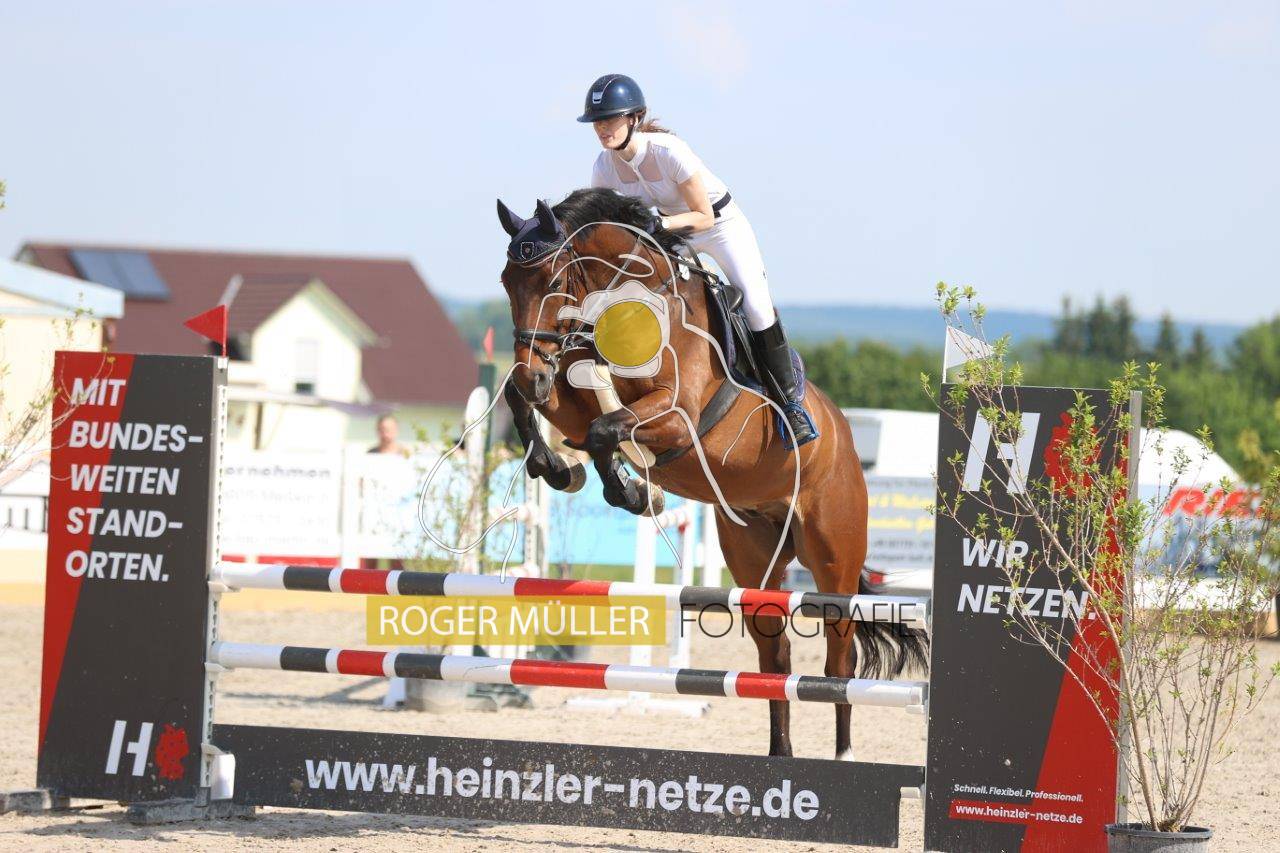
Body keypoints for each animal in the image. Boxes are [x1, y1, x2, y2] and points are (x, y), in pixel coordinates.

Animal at [496, 188, 929, 759]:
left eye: (554, 279)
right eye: (507, 281)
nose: (533, 371)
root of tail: (846, 443)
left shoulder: (677, 417)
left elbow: (605, 429)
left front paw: (633, 491)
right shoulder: (572, 388)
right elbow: (559, 410)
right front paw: (560, 468)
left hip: (833, 557)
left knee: (840, 661)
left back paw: (843, 756)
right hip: (754, 562)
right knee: (775, 659)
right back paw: (780, 757)